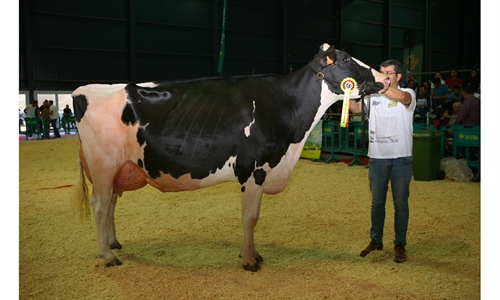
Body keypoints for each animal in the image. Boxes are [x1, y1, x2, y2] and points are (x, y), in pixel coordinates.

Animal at [72, 44, 386, 272]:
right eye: (345, 59)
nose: (384, 78)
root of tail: (83, 90)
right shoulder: (254, 169)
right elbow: (250, 216)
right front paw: (248, 260)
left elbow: (254, 215)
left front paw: (254, 254)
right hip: (103, 165)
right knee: (100, 205)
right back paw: (108, 255)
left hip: (119, 168)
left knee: (111, 203)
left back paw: (114, 243)